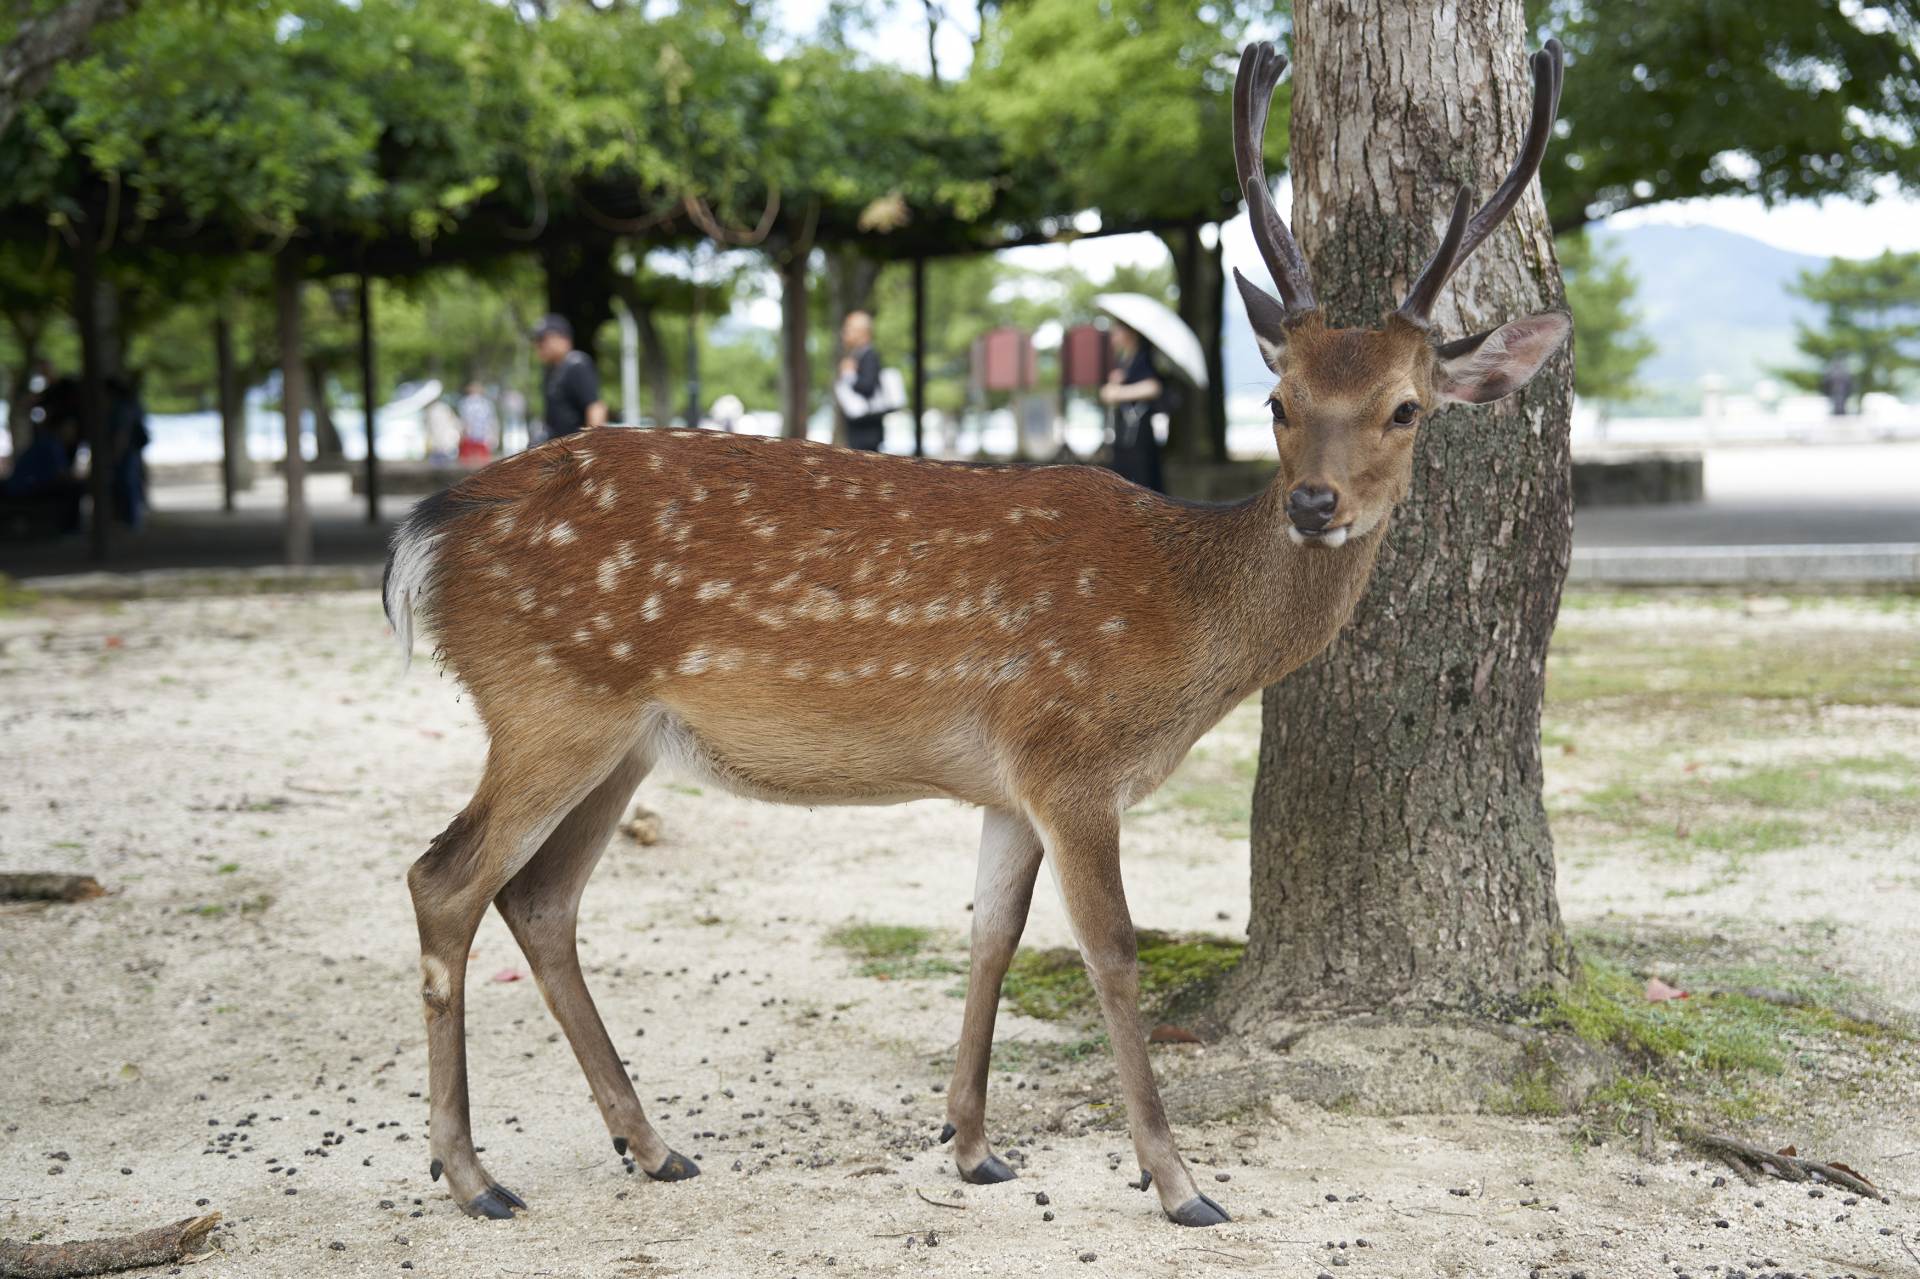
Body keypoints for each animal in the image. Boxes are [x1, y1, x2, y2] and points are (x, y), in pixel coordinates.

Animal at [382, 34, 1566, 1221]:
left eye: (1406, 407)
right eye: (1278, 402)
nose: (1316, 504)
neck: (1189, 626)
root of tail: (430, 530)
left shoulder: (1009, 781)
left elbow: (990, 935)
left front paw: (972, 1145)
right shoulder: (1072, 754)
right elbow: (1112, 952)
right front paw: (1178, 1179)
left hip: (621, 736)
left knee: (539, 898)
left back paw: (652, 1143)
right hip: (550, 702)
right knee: (446, 880)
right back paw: (472, 1173)